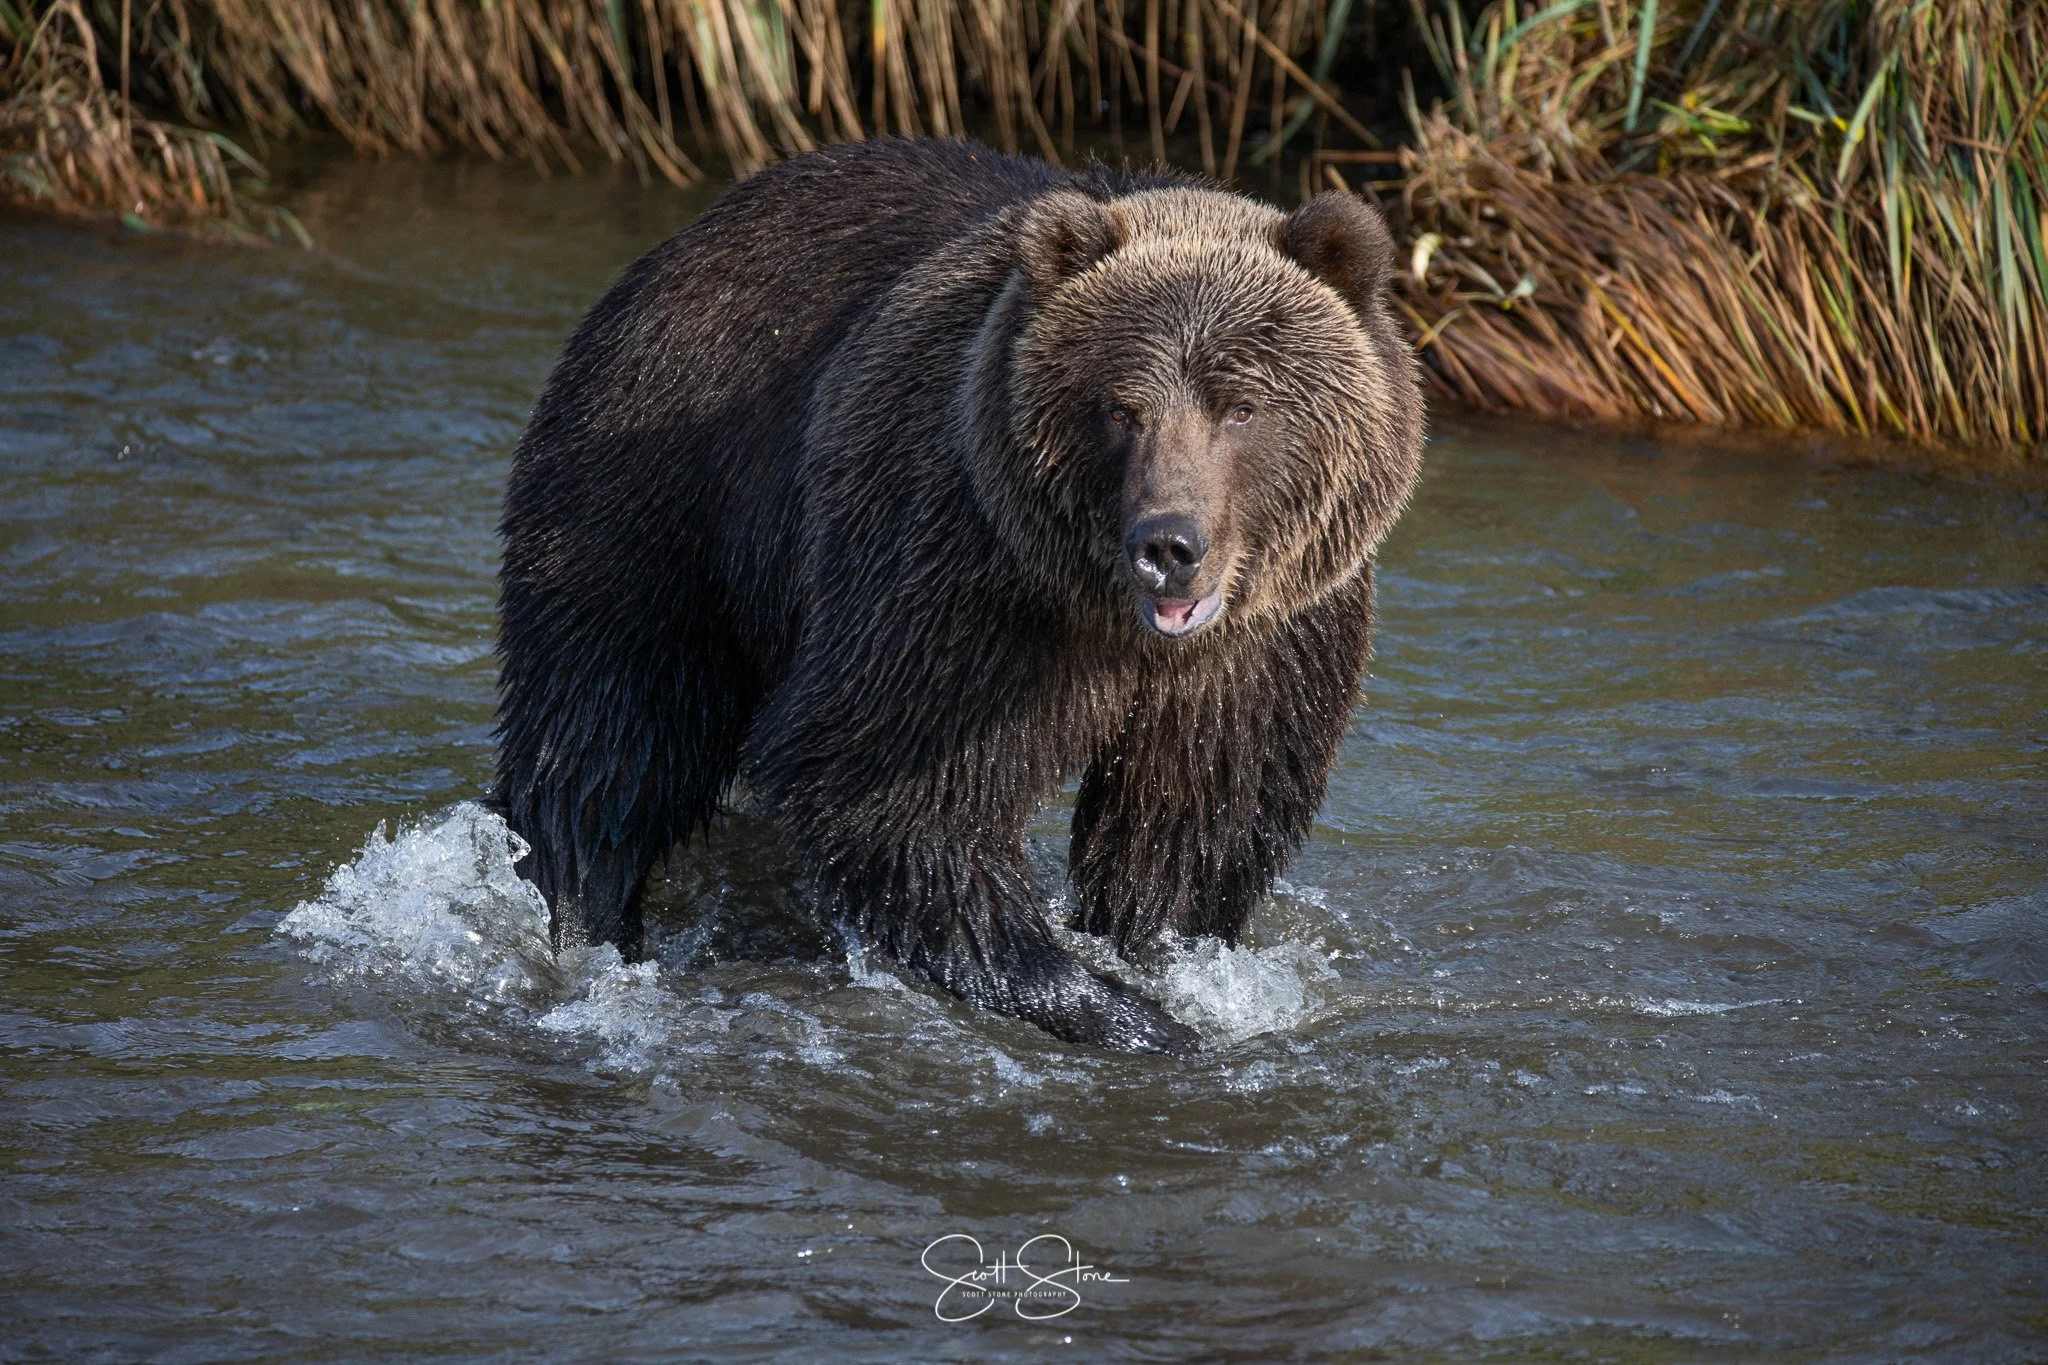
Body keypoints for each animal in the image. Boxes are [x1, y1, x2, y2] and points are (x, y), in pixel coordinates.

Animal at [494, 137, 1423, 1055]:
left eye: (1243, 406)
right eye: (1119, 407)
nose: (1168, 546)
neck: (1117, 627)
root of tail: (680, 244)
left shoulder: (1266, 651)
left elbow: (1191, 829)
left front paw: (1165, 969)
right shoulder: (960, 580)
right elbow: (891, 790)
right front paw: (1125, 1011)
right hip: (662, 487)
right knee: (607, 731)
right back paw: (580, 914)